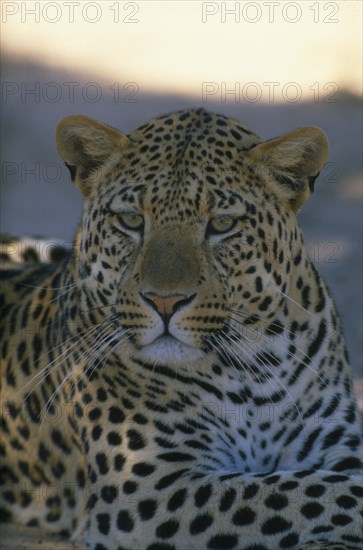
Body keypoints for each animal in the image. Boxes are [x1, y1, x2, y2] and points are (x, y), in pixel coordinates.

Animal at [0, 109, 362, 550]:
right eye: (131, 220)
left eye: (221, 224)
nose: (164, 302)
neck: (255, 362)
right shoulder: (146, 488)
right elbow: (314, 490)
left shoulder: (338, 445)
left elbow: (321, 485)